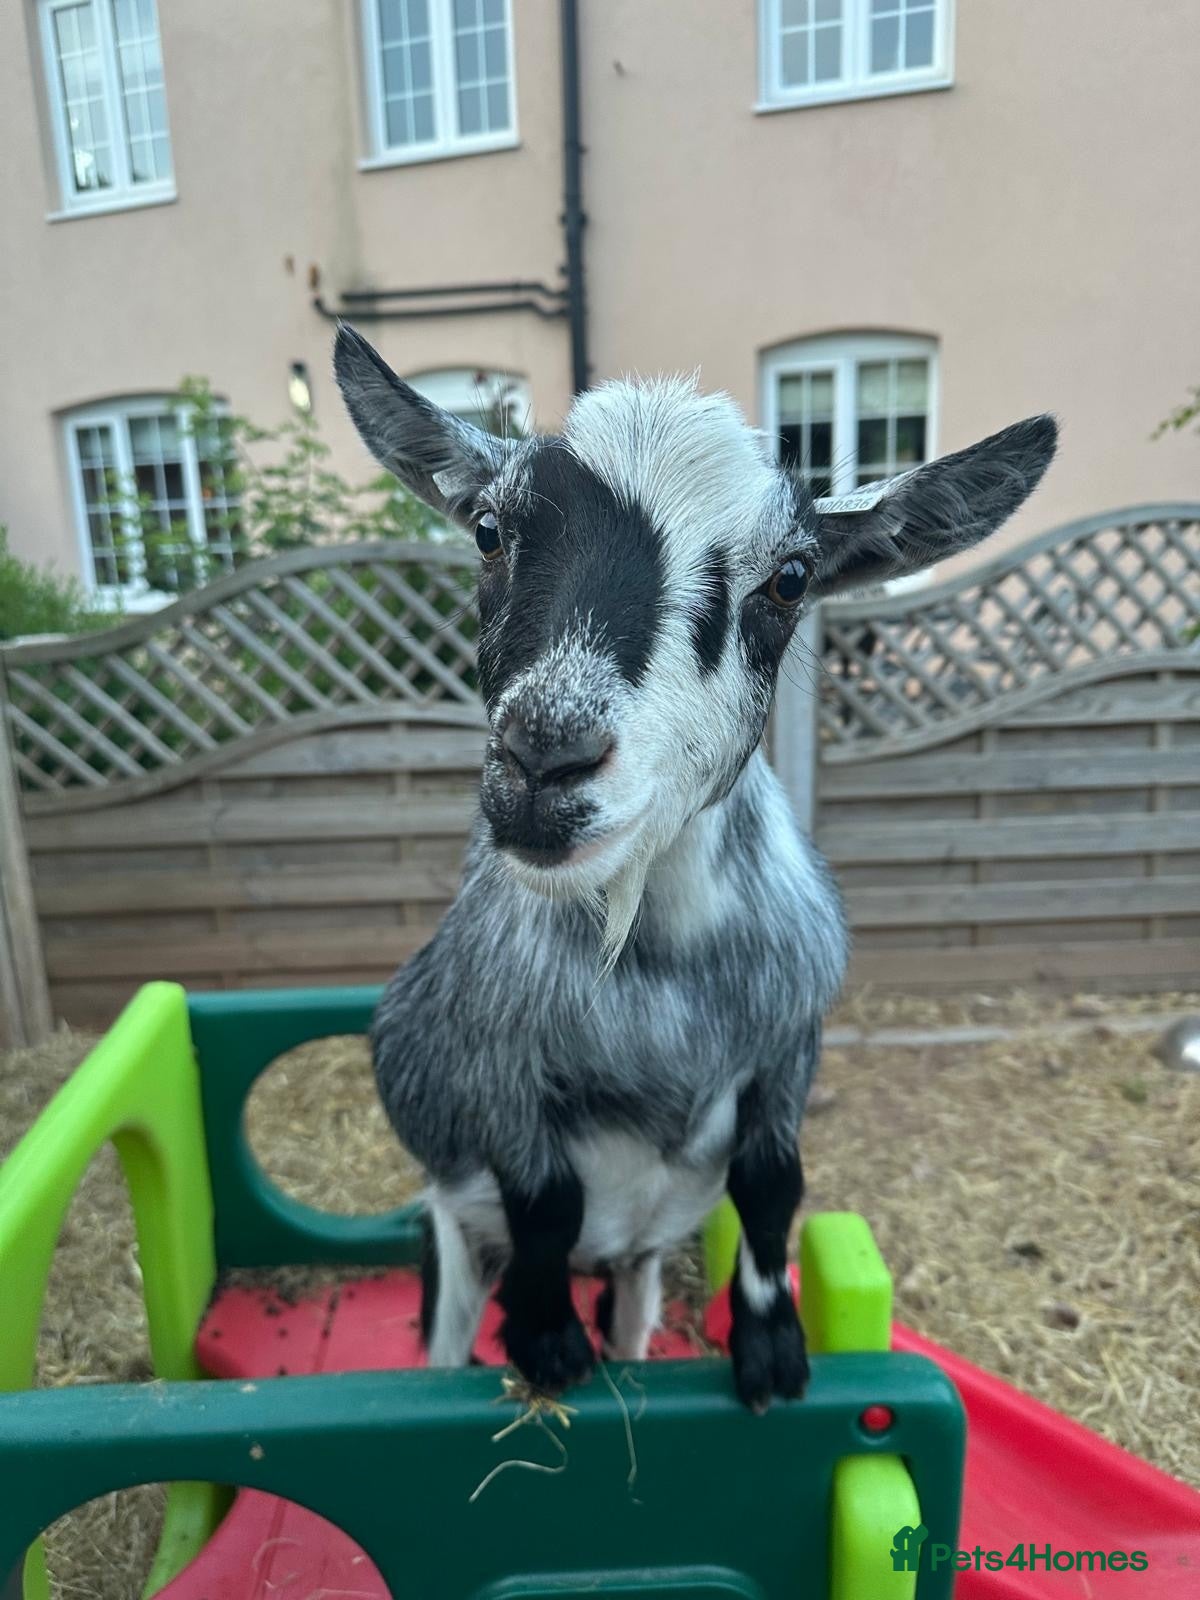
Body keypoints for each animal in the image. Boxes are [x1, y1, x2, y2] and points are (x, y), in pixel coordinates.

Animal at [334, 324, 1056, 1410]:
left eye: (791, 579)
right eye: (489, 531)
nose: (544, 760)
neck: (661, 970)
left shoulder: (789, 1042)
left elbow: (773, 1184)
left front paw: (772, 1350)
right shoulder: (496, 1063)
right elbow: (546, 1198)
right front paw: (547, 1341)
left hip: (635, 1266)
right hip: (450, 1240)